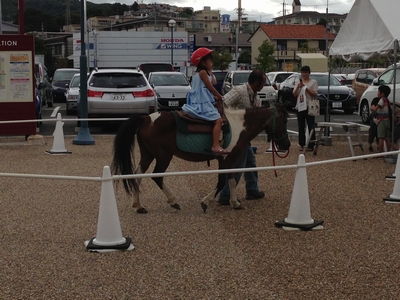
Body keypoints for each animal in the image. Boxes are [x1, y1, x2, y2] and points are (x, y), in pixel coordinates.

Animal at [111, 104, 290, 212]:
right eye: (285, 120)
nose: (287, 144)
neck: (239, 126)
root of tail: (146, 119)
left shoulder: (231, 160)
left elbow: (231, 181)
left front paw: (234, 203)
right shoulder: (224, 160)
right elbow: (222, 182)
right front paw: (206, 201)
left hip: (148, 154)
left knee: (137, 175)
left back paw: (138, 205)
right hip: (163, 156)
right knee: (157, 176)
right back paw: (173, 200)